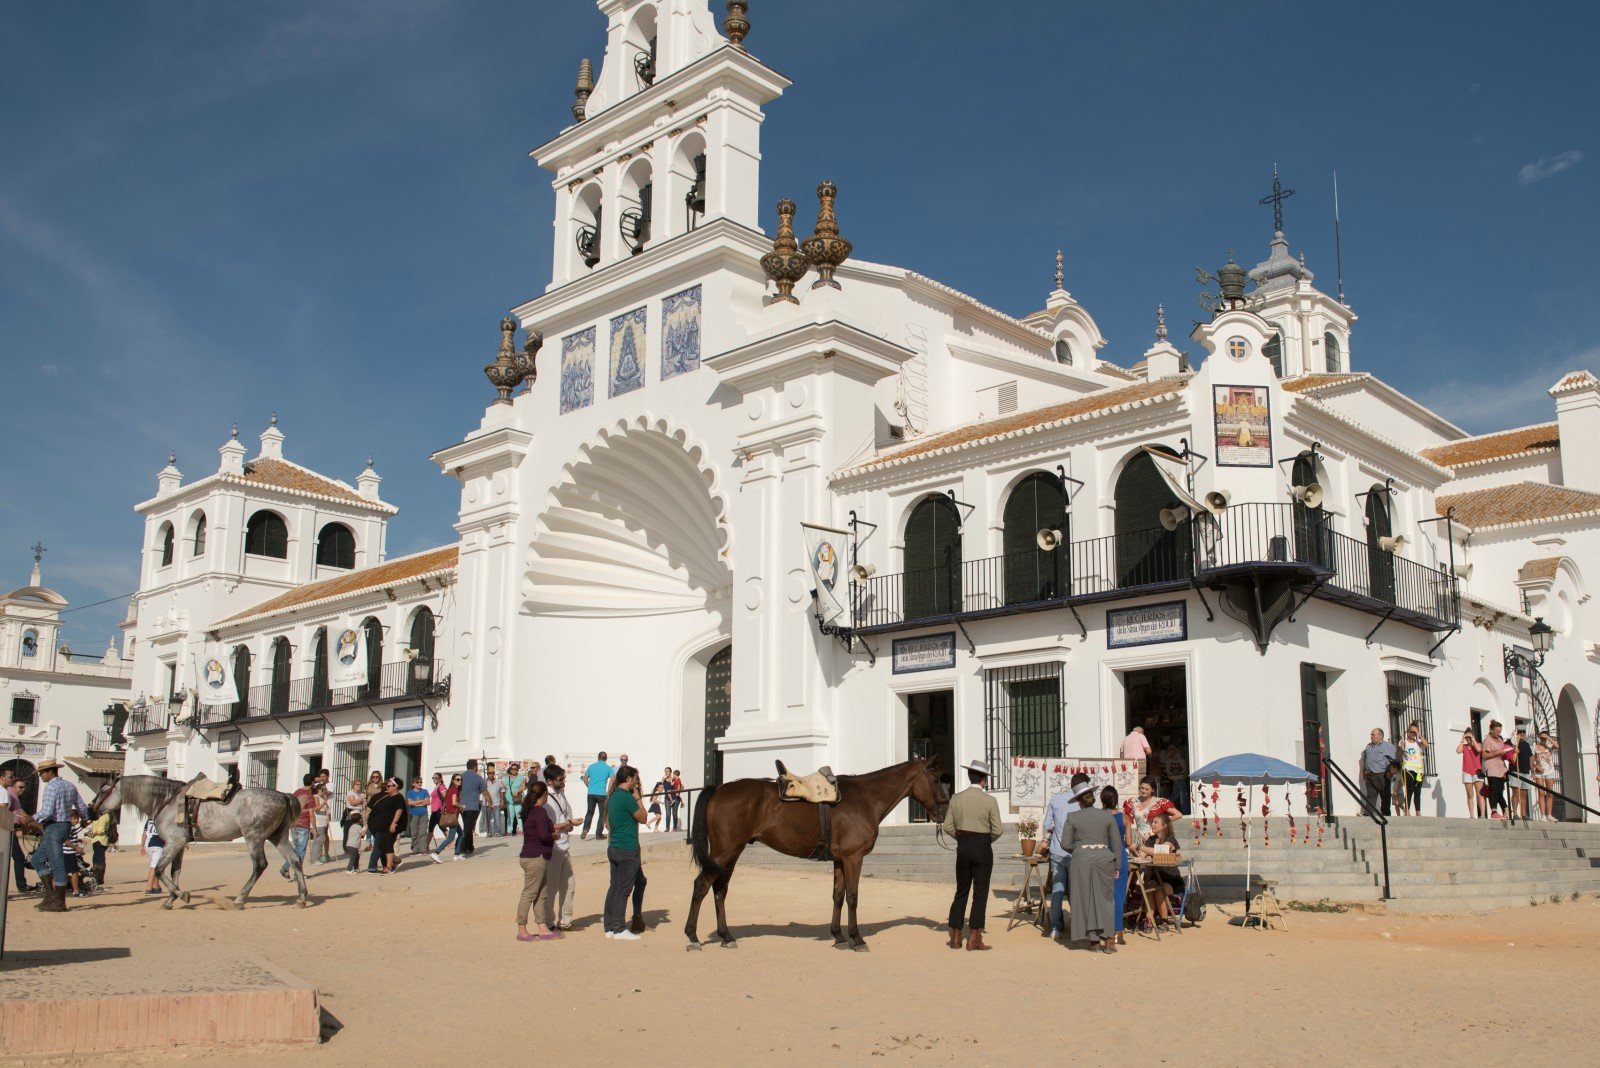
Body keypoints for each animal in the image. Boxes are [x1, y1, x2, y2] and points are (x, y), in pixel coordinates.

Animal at [92, 777, 310, 908]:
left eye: (103, 790)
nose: (91, 809)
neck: (167, 801)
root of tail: (282, 795)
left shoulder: (173, 842)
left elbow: (159, 870)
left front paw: (181, 895)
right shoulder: (180, 844)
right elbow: (175, 871)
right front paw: (170, 899)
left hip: (254, 838)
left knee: (259, 865)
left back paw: (240, 899)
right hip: (278, 837)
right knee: (295, 860)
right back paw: (301, 898)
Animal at [681, 757, 940, 952]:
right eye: (936, 778)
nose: (943, 808)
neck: (865, 797)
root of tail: (719, 789)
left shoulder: (839, 859)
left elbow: (838, 895)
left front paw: (838, 936)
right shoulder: (853, 857)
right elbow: (853, 896)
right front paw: (856, 938)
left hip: (730, 855)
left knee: (720, 890)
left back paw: (726, 936)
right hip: (725, 853)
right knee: (701, 886)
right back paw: (693, 937)